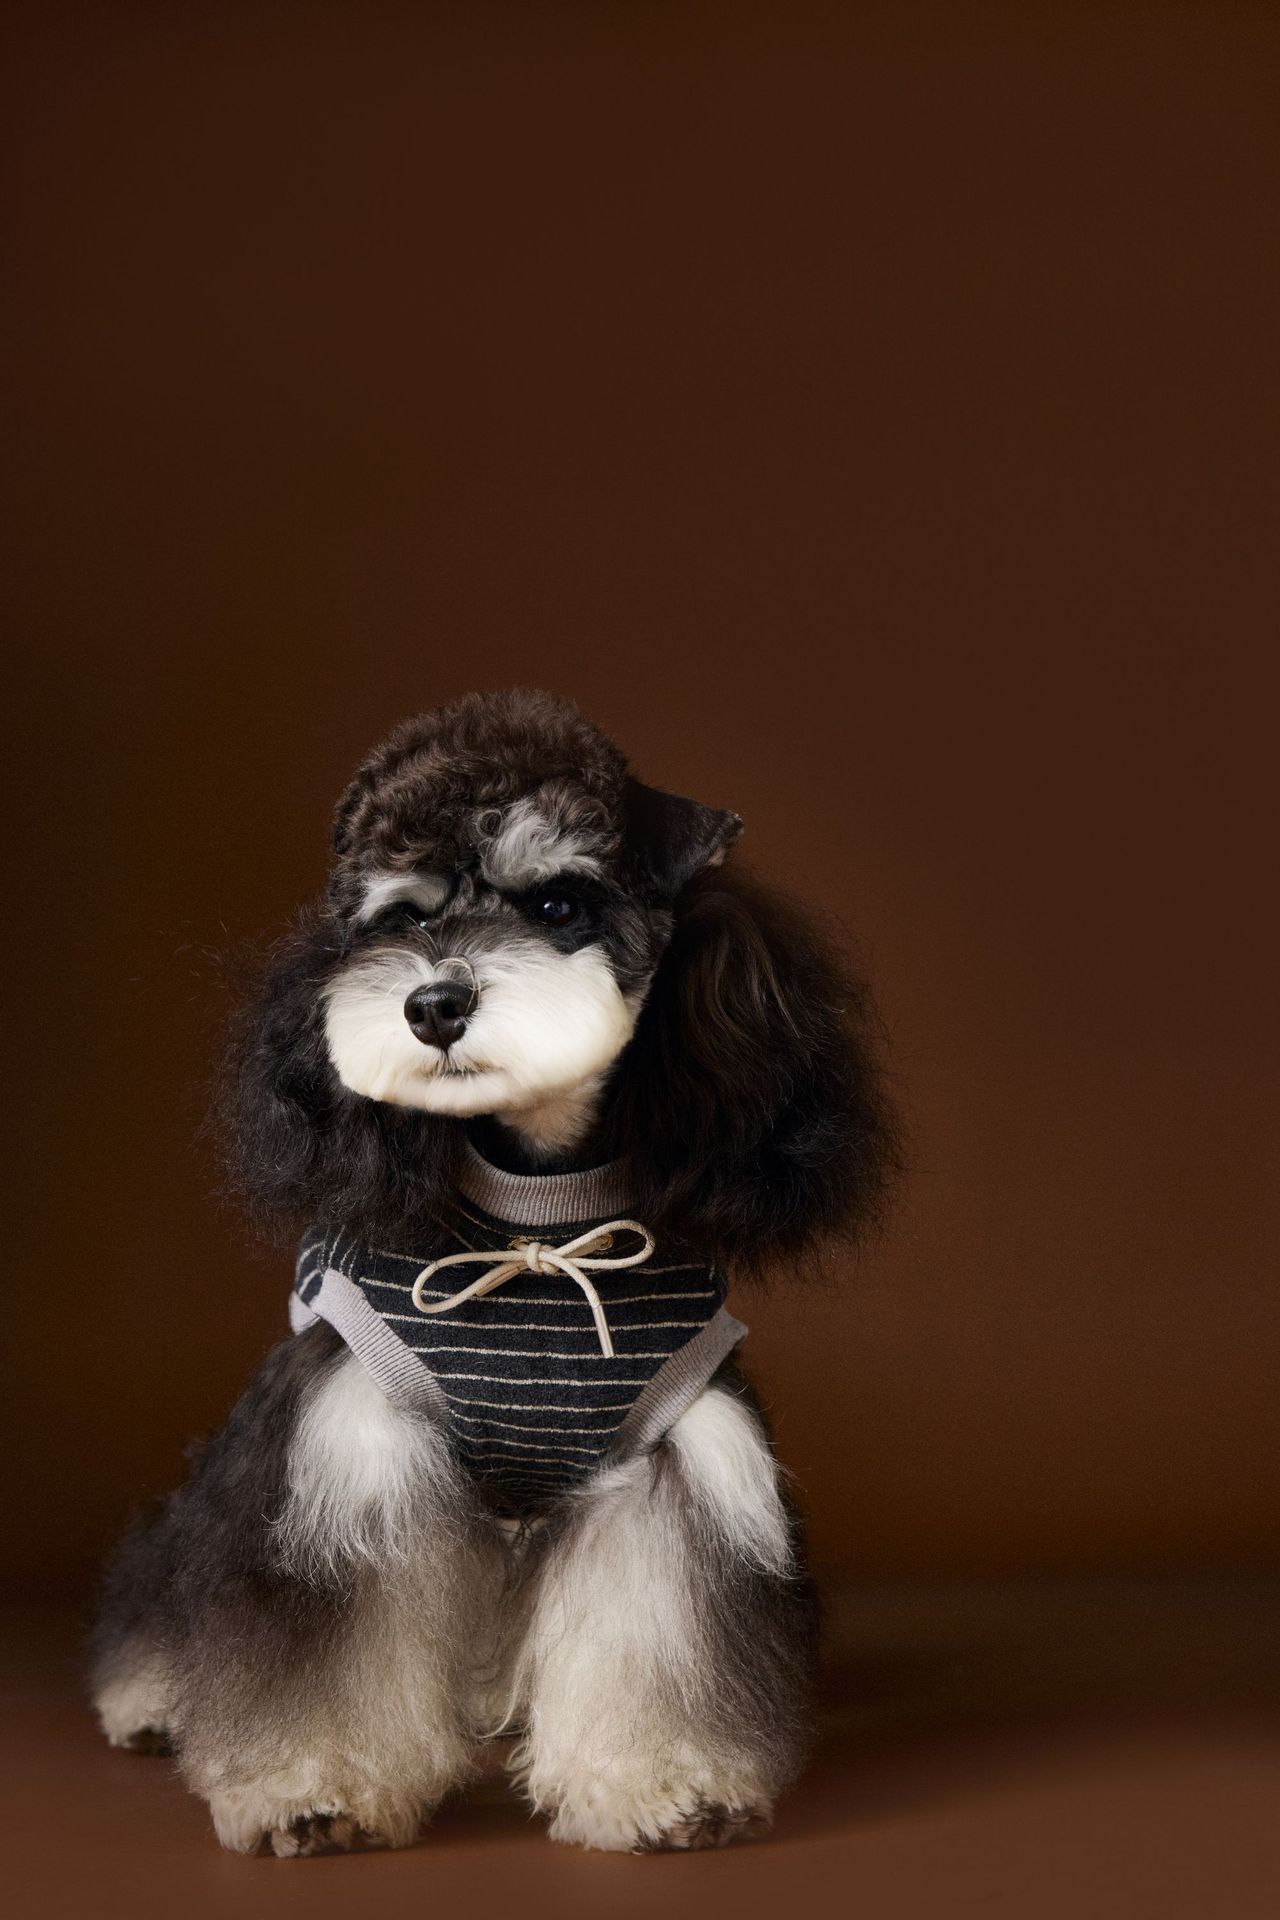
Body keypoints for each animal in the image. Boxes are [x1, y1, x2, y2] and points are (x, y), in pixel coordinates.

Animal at [90, 688, 896, 1855]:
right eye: (398, 919)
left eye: (558, 901)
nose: (432, 1005)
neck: (534, 1218)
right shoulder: (344, 1447)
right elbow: (315, 1650)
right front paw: (312, 1791)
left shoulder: (675, 1463)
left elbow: (656, 1631)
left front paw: (665, 1785)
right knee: (174, 1574)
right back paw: (150, 1697)